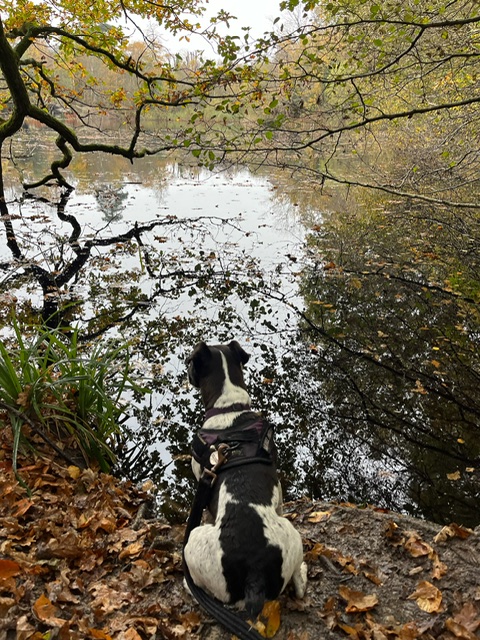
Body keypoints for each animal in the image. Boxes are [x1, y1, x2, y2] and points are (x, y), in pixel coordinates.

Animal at [182, 340, 306, 620]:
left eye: (191, 363)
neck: (230, 408)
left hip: (192, 541)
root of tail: (254, 577)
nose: (187, 371)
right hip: (292, 534)